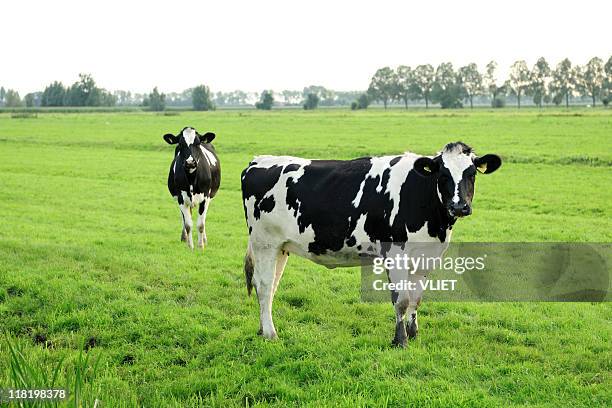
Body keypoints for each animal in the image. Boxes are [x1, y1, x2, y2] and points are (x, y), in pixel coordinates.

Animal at [241, 142, 500, 346]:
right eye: (443, 175)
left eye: (471, 174)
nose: (459, 206)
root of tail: (258, 160)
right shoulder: (395, 254)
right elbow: (401, 300)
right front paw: (400, 340)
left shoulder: (426, 256)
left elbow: (416, 298)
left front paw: (413, 333)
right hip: (264, 242)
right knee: (264, 285)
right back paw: (271, 334)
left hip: (281, 247)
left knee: (270, 285)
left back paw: (262, 328)